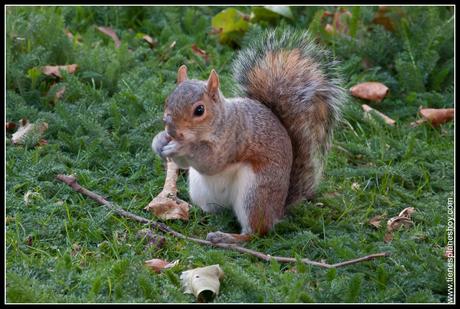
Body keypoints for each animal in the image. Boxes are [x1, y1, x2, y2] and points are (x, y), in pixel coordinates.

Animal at [153, 27, 346, 243]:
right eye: (168, 100)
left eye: (199, 110)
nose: (171, 131)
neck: (221, 120)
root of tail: (278, 210)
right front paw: (159, 140)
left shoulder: (234, 139)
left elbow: (211, 163)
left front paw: (182, 146)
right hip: (201, 190)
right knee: (217, 211)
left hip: (255, 193)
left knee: (256, 232)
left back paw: (227, 237)